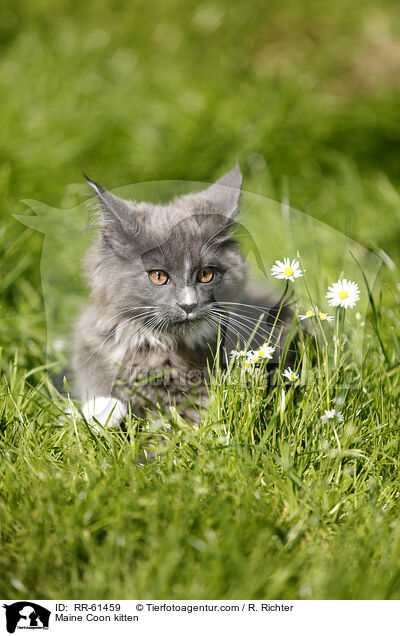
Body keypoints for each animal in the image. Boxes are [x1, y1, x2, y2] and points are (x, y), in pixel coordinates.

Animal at [73, 166, 290, 430]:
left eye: (205, 274)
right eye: (158, 276)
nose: (188, 304)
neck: (166, 347)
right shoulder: (92, 345)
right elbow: (98, 380)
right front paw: (105, 410)